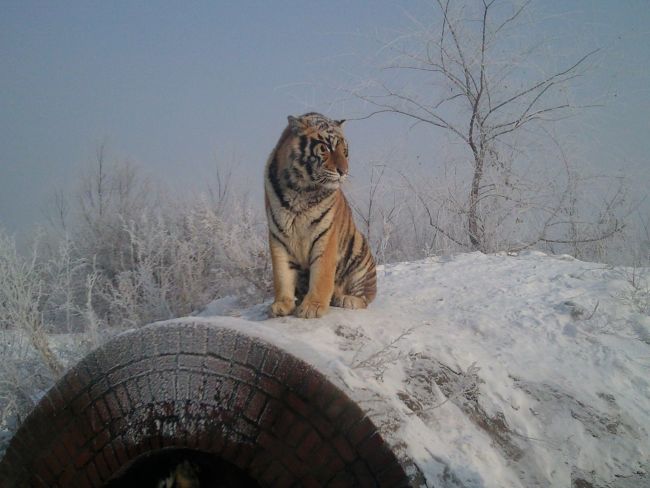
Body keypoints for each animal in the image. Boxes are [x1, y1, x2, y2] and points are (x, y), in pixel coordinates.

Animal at [262, 110, 374, 318]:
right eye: (326, 147)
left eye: (345, 151)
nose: (344, 171)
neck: (300, 189)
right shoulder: (278, 235)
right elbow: (282, 274)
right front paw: (281, 305)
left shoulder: (326, 235)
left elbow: (322, 273)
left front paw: (312, 307)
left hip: (359, 249)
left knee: (366, 296)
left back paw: (346, 299)